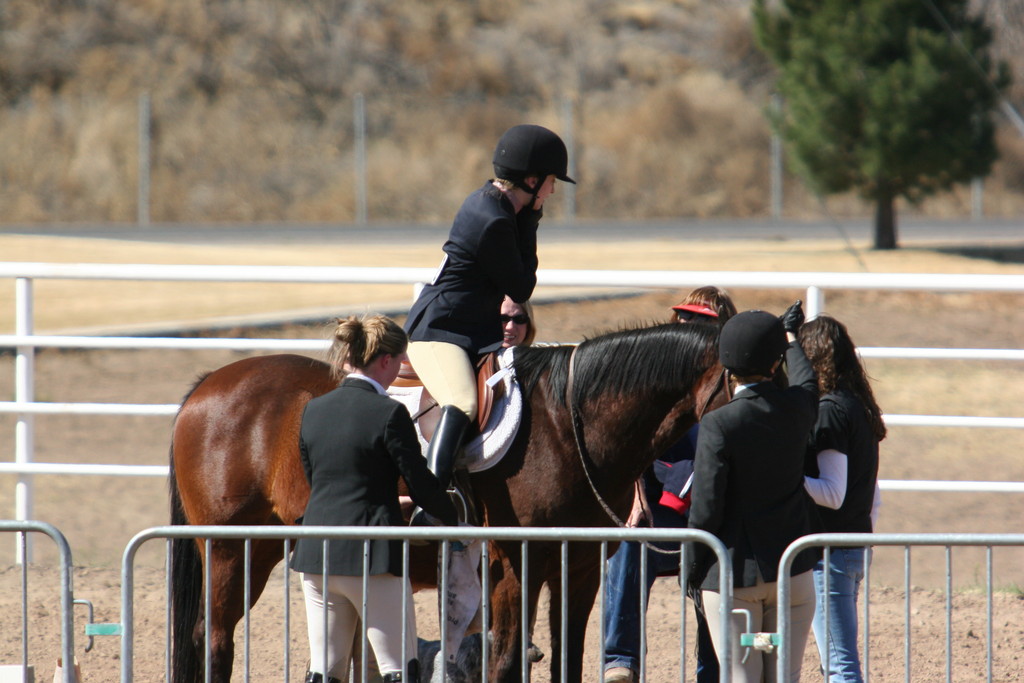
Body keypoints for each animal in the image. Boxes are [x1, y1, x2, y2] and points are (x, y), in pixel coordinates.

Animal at [169, 321, 729, 683]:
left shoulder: (581, 566)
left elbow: (566, 659)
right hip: (229, 550)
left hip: (263, 547)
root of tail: (207, 386)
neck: (567, 425)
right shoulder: (516, 565)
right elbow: (506, 661)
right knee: (213, 640)